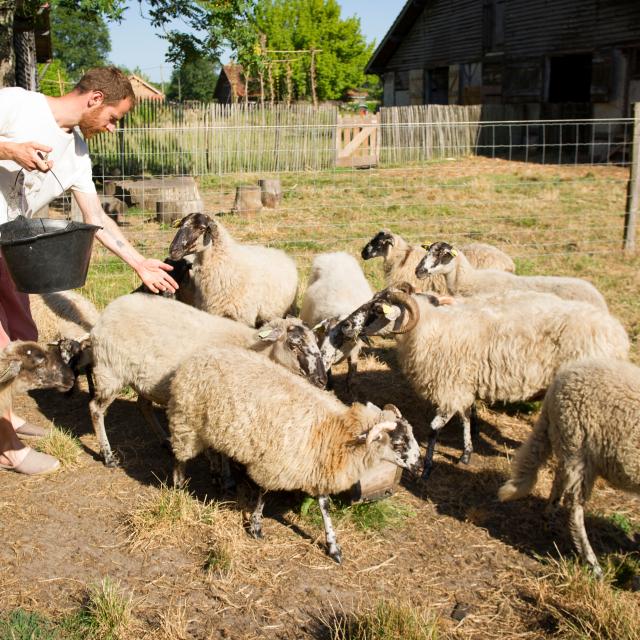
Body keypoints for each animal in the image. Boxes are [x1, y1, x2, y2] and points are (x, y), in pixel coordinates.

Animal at [302, 254, 376, 396]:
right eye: (325, 332)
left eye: (346, 337)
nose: (324, 358)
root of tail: (335, 254)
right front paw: (329, 386)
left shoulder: (354, 349)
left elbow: (352, 372)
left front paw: (351, 392)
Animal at [332, 282, 628, 478]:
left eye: (377, 309)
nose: (345, 326)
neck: (431, 327)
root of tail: (617, 335)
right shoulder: (461, 384)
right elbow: (464, 417)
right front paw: (466, 453)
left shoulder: (450, 384)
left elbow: (435, 427)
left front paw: (427, 465)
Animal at [500, 360, 640, 580]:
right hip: (578, 443)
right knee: (575, 507)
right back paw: (593, 564)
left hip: (569, 443)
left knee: (559, 477)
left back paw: (549, 514)